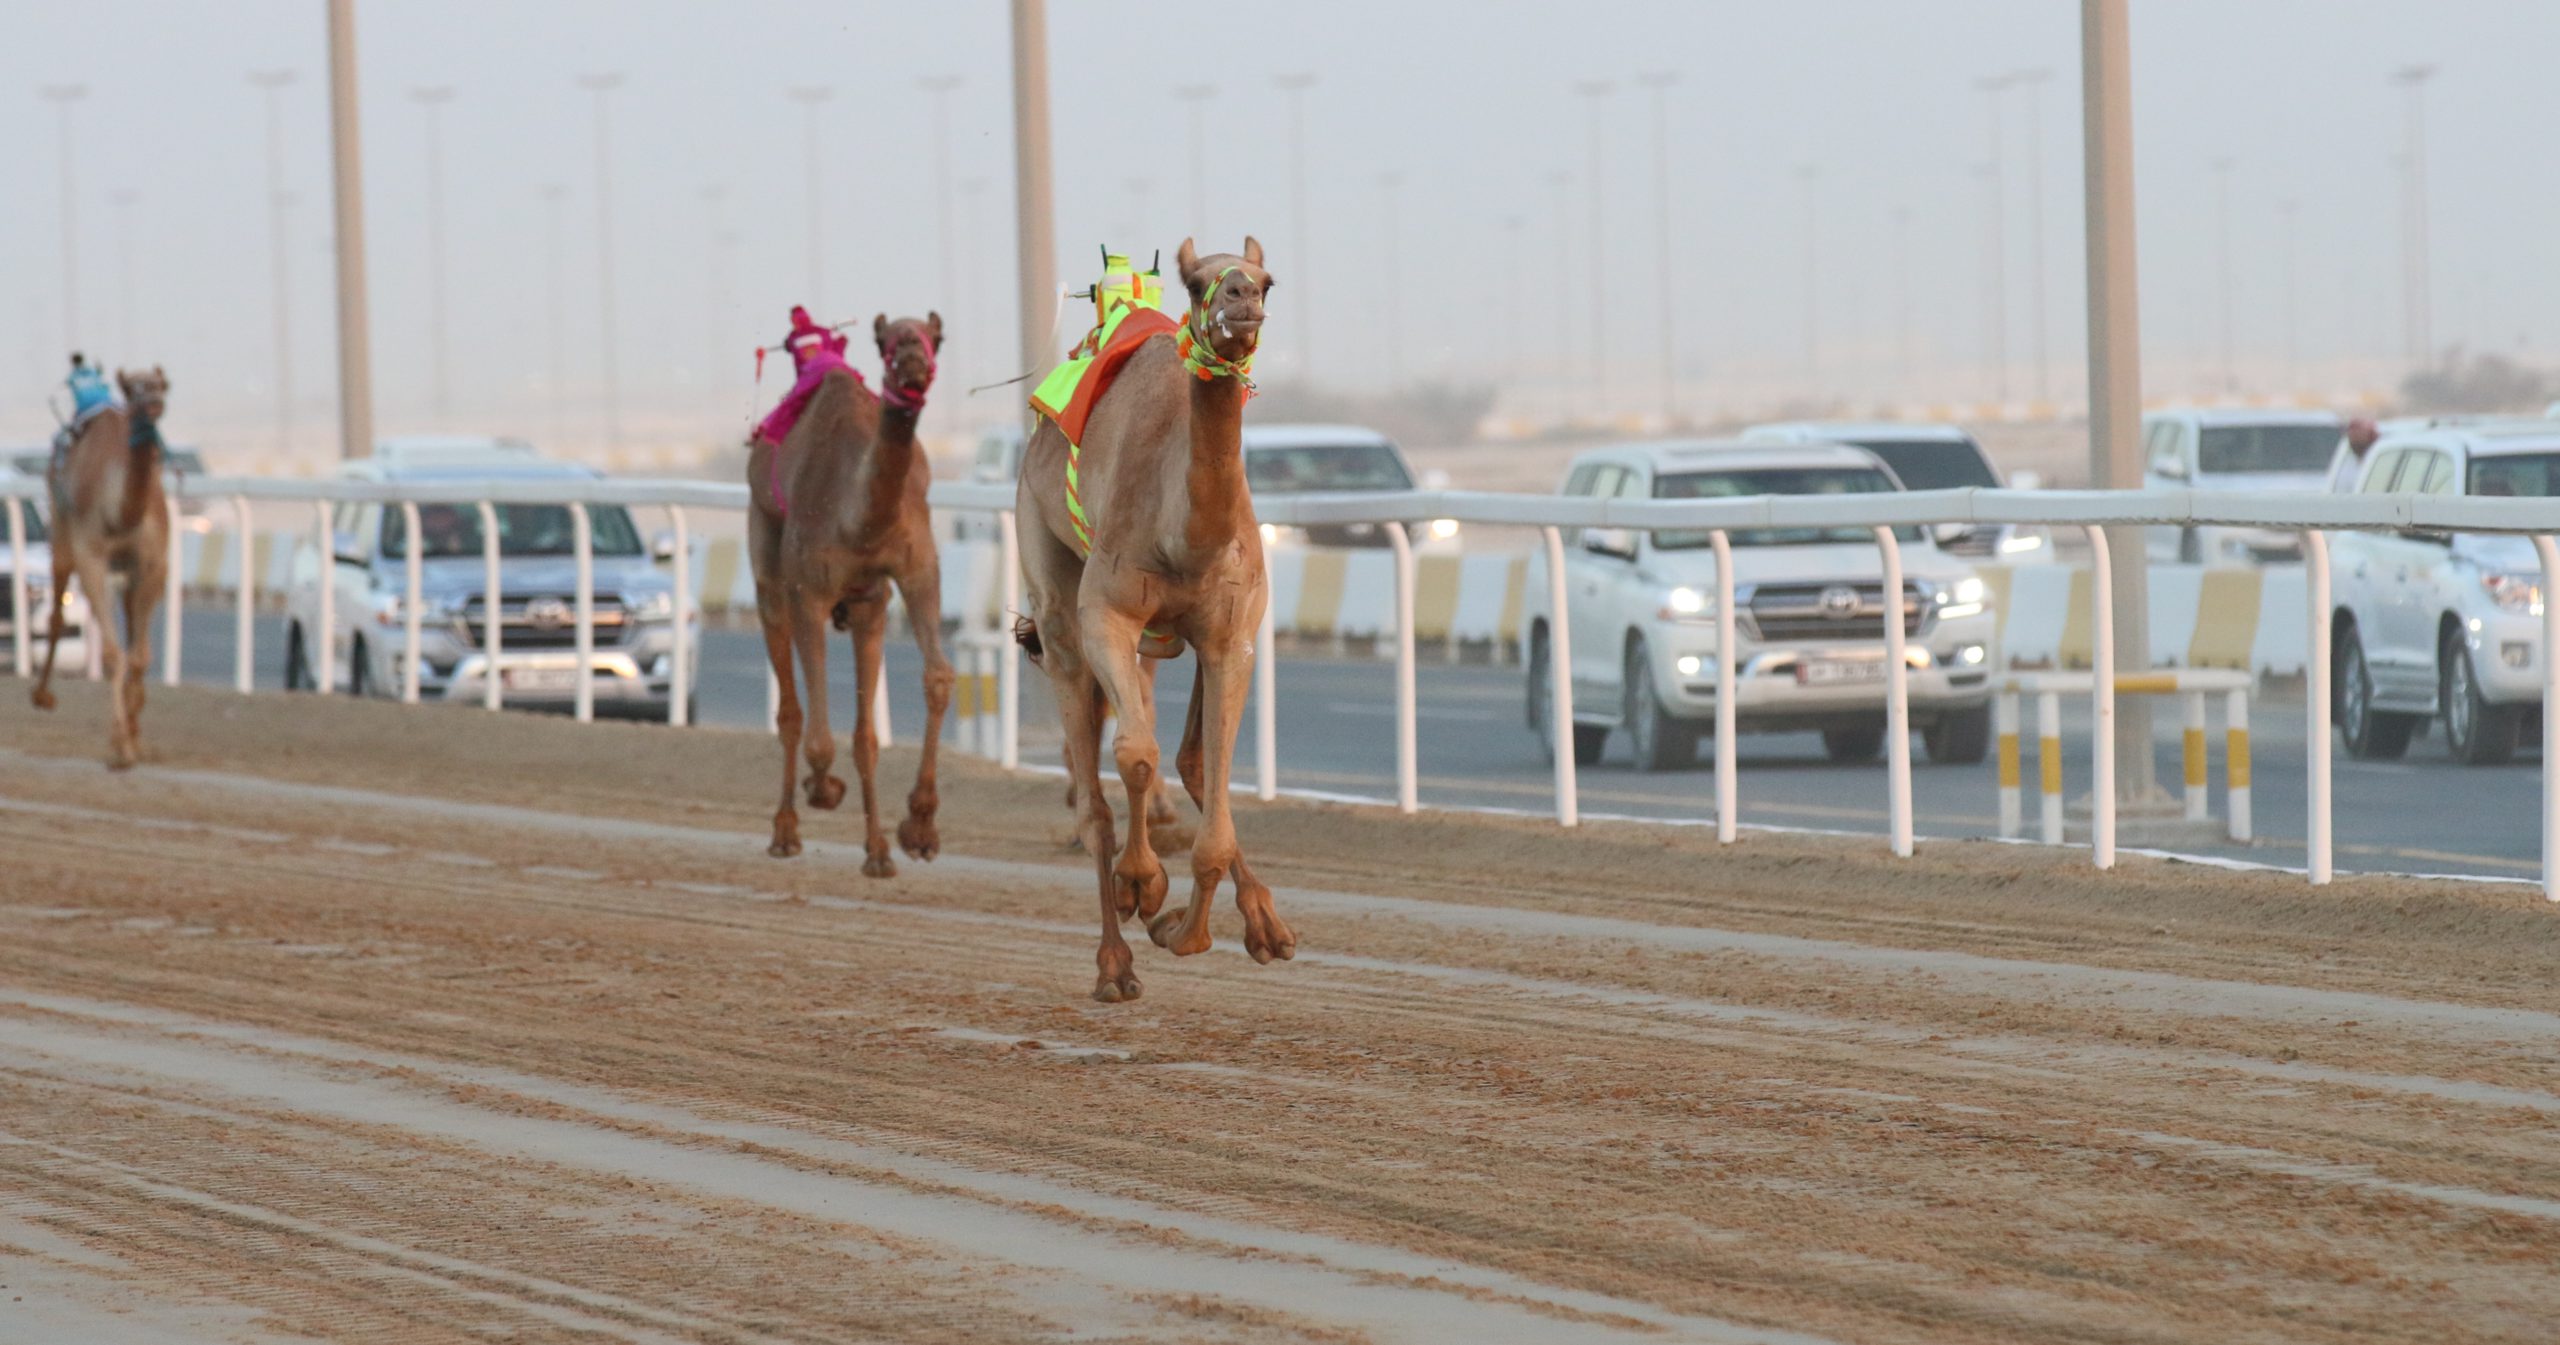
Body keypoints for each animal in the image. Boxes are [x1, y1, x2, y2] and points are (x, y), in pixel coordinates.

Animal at [29, 366, 172, 768]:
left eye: (161, 384)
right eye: (132, 389)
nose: (153, 404)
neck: (121, 514)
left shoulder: (154, 565)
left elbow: (140, 656)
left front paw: (134, 737)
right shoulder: (91, 557)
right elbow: (111, 655)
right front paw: (121, 746)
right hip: (61, 531)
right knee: (56, 615)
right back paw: (41, 696)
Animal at [747, 311, 957, 876]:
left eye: (935, 337)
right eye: (885, 341)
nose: (913, 362)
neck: (859, 522)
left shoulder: (913, 574)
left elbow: (936, 679)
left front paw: (917, 830)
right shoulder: (808, 591)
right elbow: (817, 735)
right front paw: (824, 789)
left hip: (869, 605)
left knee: (863, 734)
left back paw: (877, 850)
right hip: (768, 560)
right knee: (791, 710)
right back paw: (784, 832)